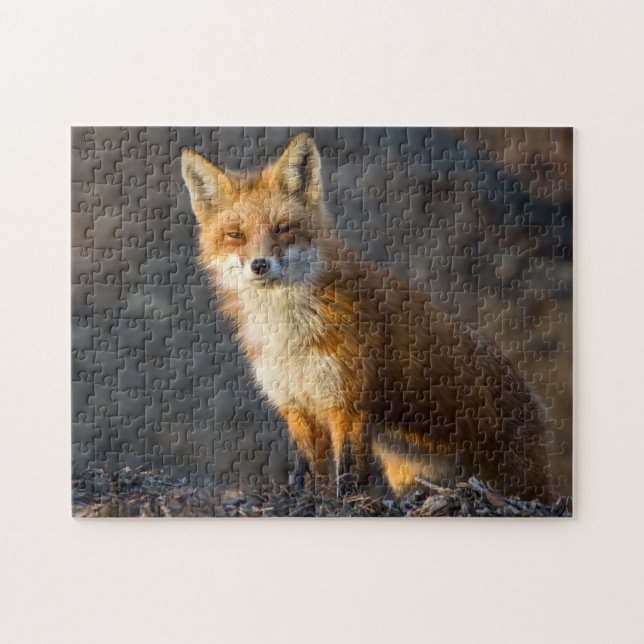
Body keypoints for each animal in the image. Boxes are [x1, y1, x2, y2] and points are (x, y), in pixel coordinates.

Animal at [181, 133, 553, 502]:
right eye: (235, 235)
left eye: (283, 228)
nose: (259, 265)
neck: (290, 333)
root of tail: (537, 403)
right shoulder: (296, 405)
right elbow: (311, 474)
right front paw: (309, 501)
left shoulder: (348, 405)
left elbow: (348, 476)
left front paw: (348, 505)